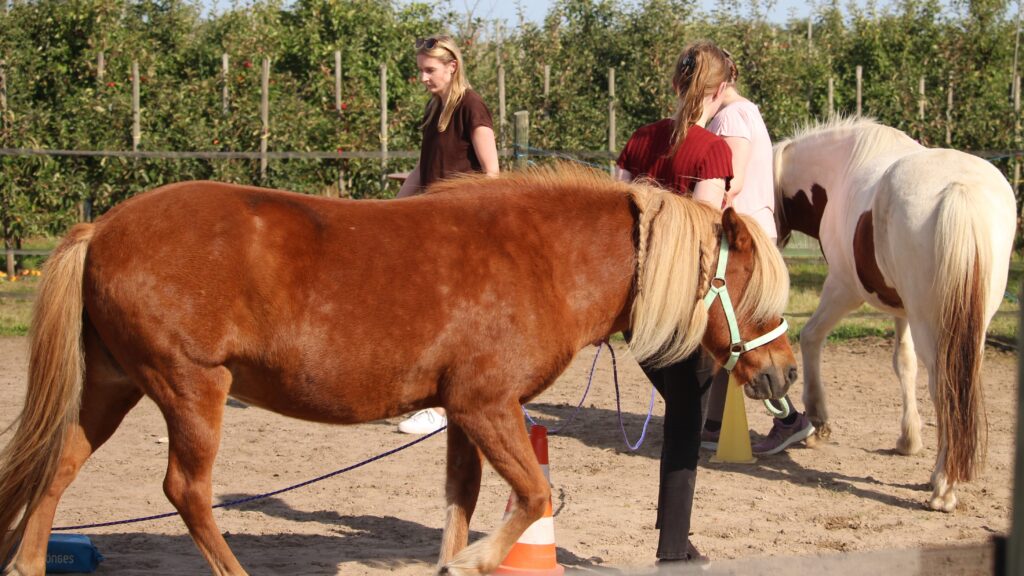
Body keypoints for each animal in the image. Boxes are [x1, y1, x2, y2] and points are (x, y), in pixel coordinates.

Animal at [0, 164, 796, 575]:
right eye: (748, 286)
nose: (785, 375)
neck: (540, 259)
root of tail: (102, 227)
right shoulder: (486, 406)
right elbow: (533, 497)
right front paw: (472, 562)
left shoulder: (465, 414)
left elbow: (461, 501)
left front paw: (454, 558)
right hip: (191, 386)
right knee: (186, 492)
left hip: (112, 386)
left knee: (57, 468)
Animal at [773, 117, 1016, 512]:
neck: (840, 169)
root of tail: (959, 190)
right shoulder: (902, 309)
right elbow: (904, 363)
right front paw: (908, 439)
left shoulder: (844, 287)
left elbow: (810, 336)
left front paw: (818, 419)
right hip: (967, 325)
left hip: (930, 323)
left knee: (944, 388)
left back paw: (942, 486)